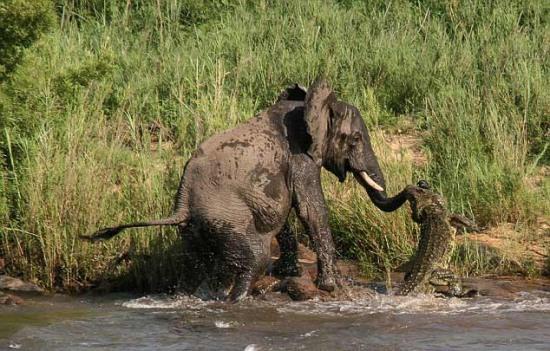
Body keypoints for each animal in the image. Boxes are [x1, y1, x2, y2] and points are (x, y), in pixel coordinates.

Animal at [84, 77, 412, 302]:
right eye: (355, 139)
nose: (417, 185)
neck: (307, 105)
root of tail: (182, 205)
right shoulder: (300, 158)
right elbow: (310, 209)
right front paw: (329, 286)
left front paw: (290, 275)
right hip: (228, 220)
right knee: (255, 258)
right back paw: (236, 300)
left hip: (197, 232)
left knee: (197, 269)